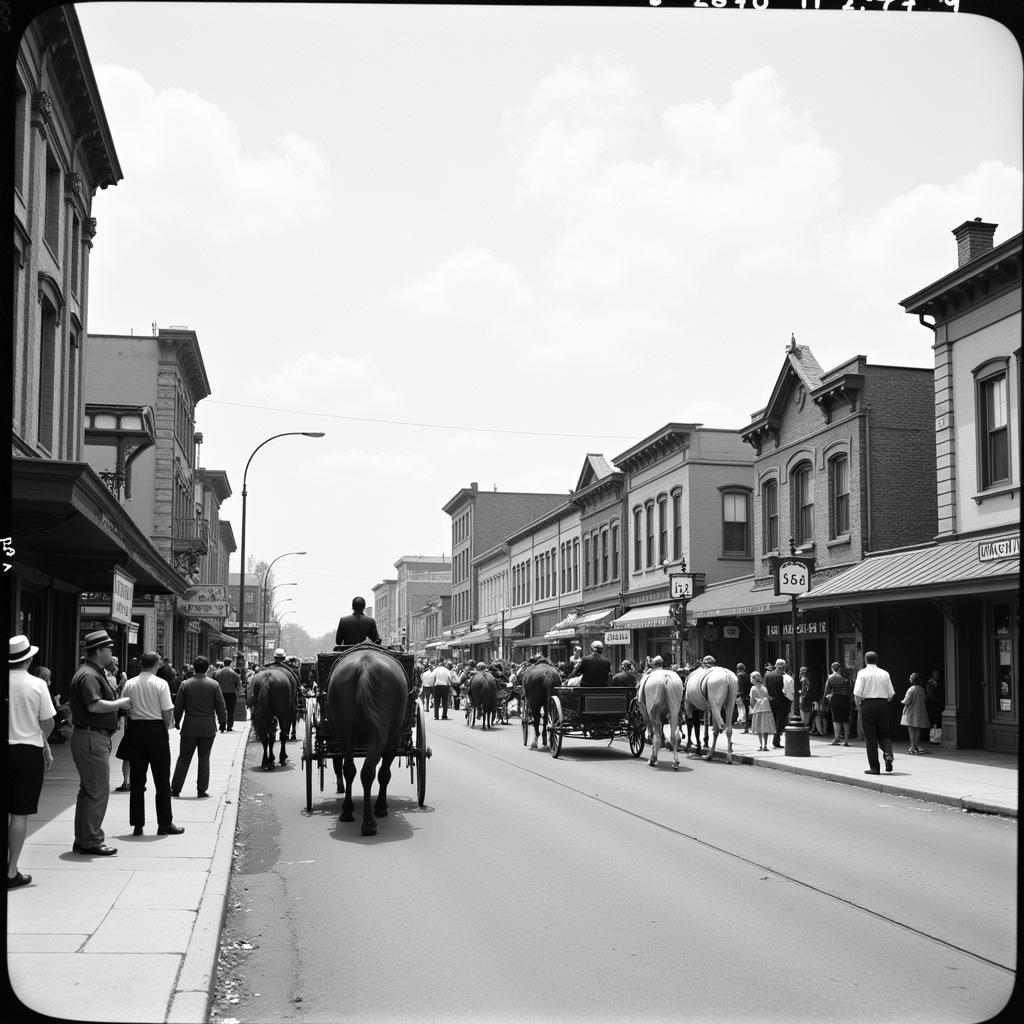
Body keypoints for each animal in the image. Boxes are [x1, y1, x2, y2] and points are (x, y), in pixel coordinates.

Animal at [327, 643, 407, 835]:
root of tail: (366, 663)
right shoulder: (394, 737)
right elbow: (385, 773)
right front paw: (381, 806)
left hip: (344, 728)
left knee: (352, 769)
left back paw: (350, 812)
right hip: (386, 732)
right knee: (371, 770)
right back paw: (369, 819)